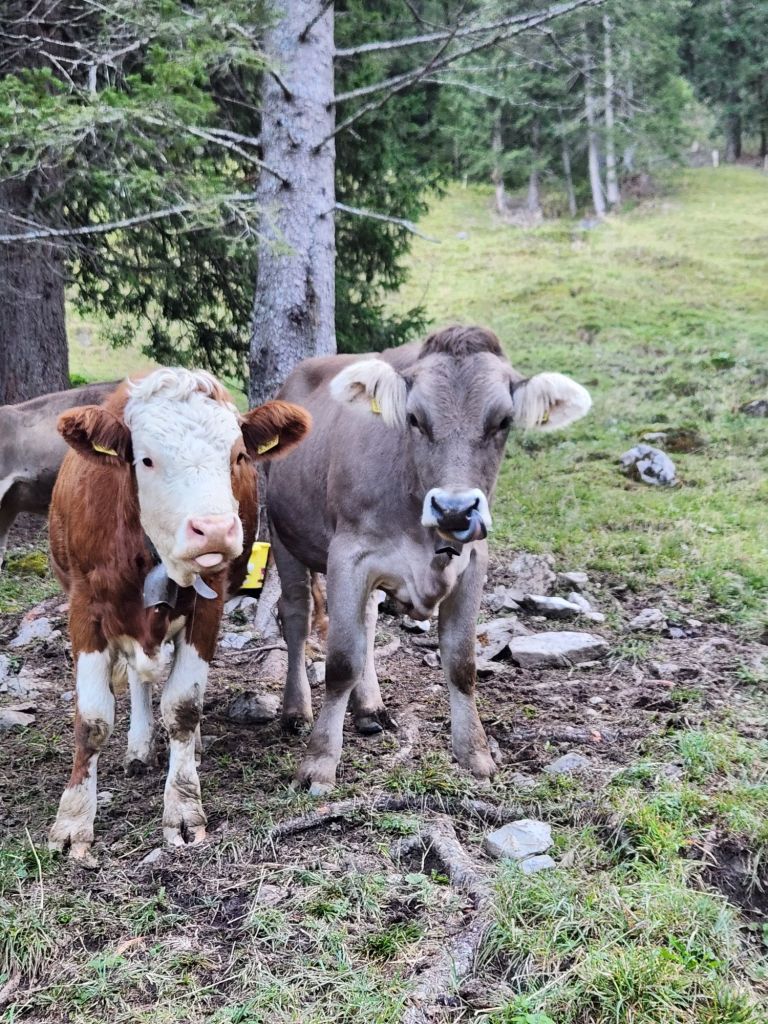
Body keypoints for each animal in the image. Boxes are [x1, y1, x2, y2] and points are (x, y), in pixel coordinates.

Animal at [47, 368, 311, 863]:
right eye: (146, 460)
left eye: (238, 455)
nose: (215, 530)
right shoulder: (85, 608)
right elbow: (92, 720)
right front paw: (72, 822)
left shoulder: (208, 607)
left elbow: (183, 706)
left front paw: (184, 808)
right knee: (138, 679)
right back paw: (138, 747)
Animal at [267, 326, 592, 796]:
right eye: (415, 418)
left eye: (503, 421)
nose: (454, 510)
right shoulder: (348, 554)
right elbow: (341, 661)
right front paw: (318, 764)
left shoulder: (473, 561)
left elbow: (461, 663)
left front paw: (475, 754)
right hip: (281, 534)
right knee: (295, 614)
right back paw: (295, 711)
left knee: (367, 618)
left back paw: (369, 708)